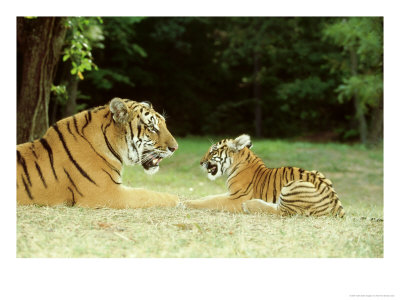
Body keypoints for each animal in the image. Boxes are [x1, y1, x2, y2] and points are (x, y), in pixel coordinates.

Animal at [184, 135, 344, 217]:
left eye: (213, 151)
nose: (200, 162)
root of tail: (338, 208)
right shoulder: (230, 193)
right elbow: (209, 197)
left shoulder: (236, 198)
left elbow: (211, 201)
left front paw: (187, 203)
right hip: (318, 173)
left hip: (293, 185)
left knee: (281, 211)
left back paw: (248, 206)